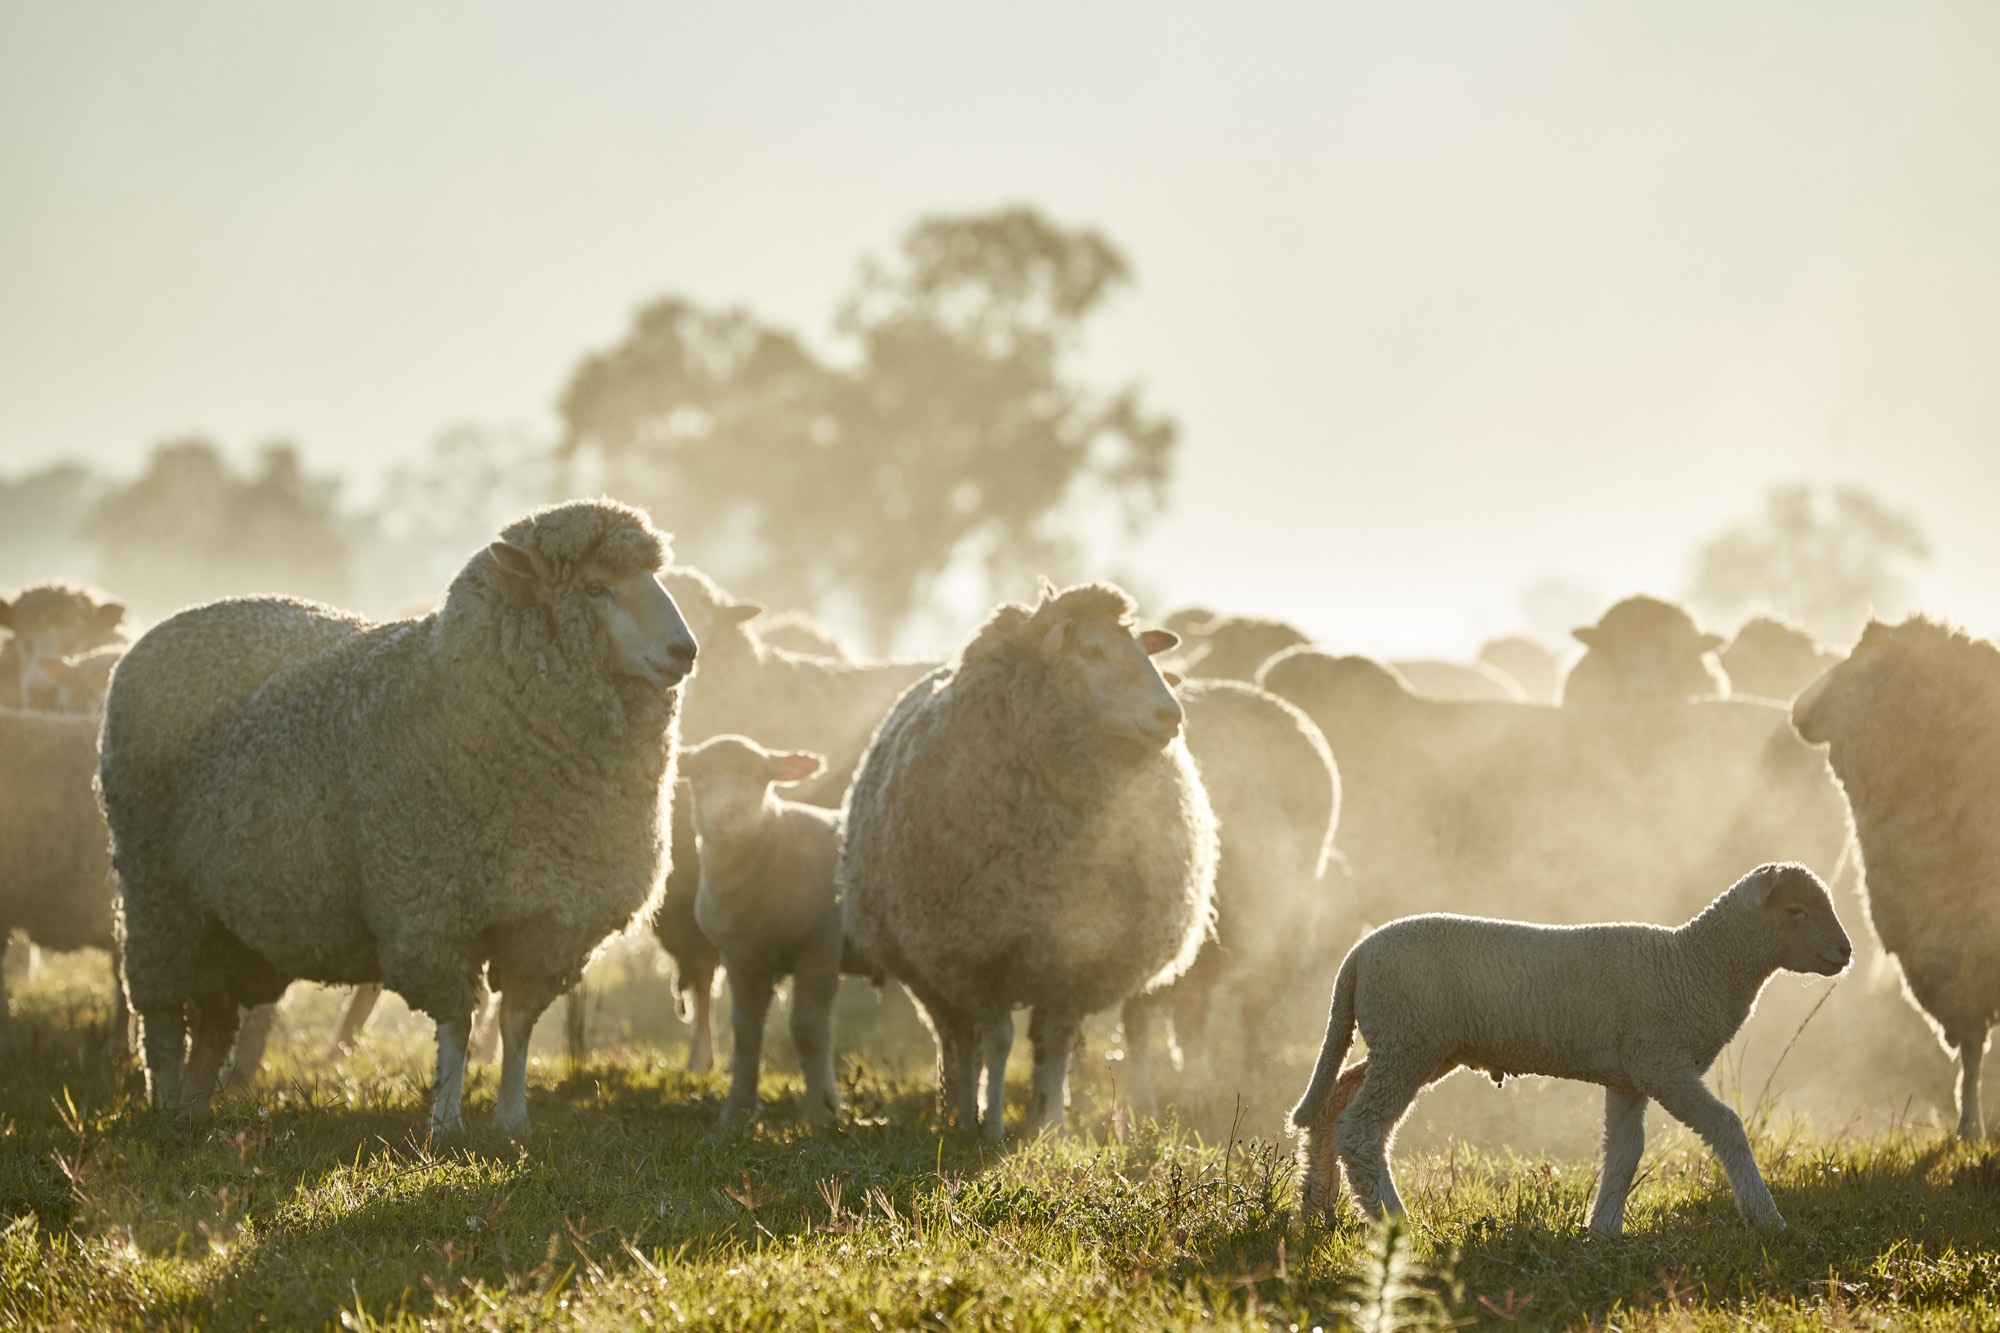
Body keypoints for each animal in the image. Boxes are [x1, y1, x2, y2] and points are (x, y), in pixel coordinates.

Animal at [98, 499, 696, 1133]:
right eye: (595, 587)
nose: (685, 651)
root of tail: (157, 633)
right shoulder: (430, 911)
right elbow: (458, 1021)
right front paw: (447, 1123)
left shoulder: (550, 923)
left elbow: (516, 1023)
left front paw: (512, 1121)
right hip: (157, 896)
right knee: (162, 1021)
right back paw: (165, 1107)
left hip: (224, 924)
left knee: (212, 1024)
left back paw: (193, 1112)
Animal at [680, 734, 879, 1125]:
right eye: (699, 774)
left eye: (760, 777)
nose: (727, 814)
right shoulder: (740, 958)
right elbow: (746, 1032)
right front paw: (736, 1111)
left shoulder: (820, 946)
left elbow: (807, 1029)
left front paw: (820, 1113)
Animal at [840, 582, 1219, 1140]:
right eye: (1091, 651)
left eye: (1142, 650)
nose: (1170, 716)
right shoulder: (977, 955)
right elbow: (997, 1039)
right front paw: (994, 1125)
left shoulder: (1078, 961)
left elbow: (1056, 1041)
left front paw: (1051, 1127)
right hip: (930, 970)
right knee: (956, 1038)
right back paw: (958, 1111)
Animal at [1119, 679, 1341, 1127]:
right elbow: (1139, 1022)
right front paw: (1143, 1107)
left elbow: (1190, 1021)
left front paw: (1191, 1095)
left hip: (1284, 932)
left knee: (1251, 1015)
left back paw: (1247, 1086)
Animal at [1291, 862, 1852, 1233]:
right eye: (1796, 910)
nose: (1845, 952)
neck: (1695, 964)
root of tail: (1359, 955)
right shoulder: (1662, 1063)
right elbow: (1726, 1125)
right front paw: (1766, 1219)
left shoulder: (1629, 1075)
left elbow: (1625, 1151)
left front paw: (1602, 1231)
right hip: (1409, 1039)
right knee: (1361, 1130)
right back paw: (1395, 1222)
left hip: (1408, 1043)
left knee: (1333, 1103)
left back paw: (1316, 1207)